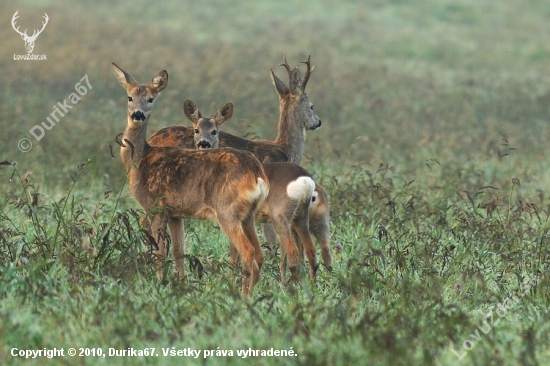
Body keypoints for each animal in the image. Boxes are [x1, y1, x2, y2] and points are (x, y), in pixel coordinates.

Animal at [112, 63, 270, 298]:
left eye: (150, 99)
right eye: (129, 97)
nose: (137, 114)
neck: (139, 159)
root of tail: (257, 174)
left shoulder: (155, 206)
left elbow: (160, 252)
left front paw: (159, 284)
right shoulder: (176, 213)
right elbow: (179, 251)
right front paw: (181, 285)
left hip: (227, 210)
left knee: (248, 252)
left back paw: (244, 297)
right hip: (248, 215)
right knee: (259, 254)